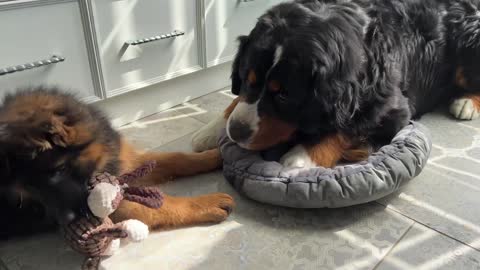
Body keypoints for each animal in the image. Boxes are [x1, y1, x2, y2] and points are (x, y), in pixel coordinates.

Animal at [0, 86, 232, 238]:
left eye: (59, 170)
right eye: (29, 191)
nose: (65, 222)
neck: (99, 161)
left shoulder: (126, 162)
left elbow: (177, 158)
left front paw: (213, 156)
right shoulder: (116, 206)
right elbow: (165, 205)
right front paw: (207, 203)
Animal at [193, 0, 480, 169]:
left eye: (284, 95)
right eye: (246, 78)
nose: (237, 131)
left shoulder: (392, 107)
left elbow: (349, 126)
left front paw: (300, 157)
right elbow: (234, 102)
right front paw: (210, 130)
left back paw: (466, 102)